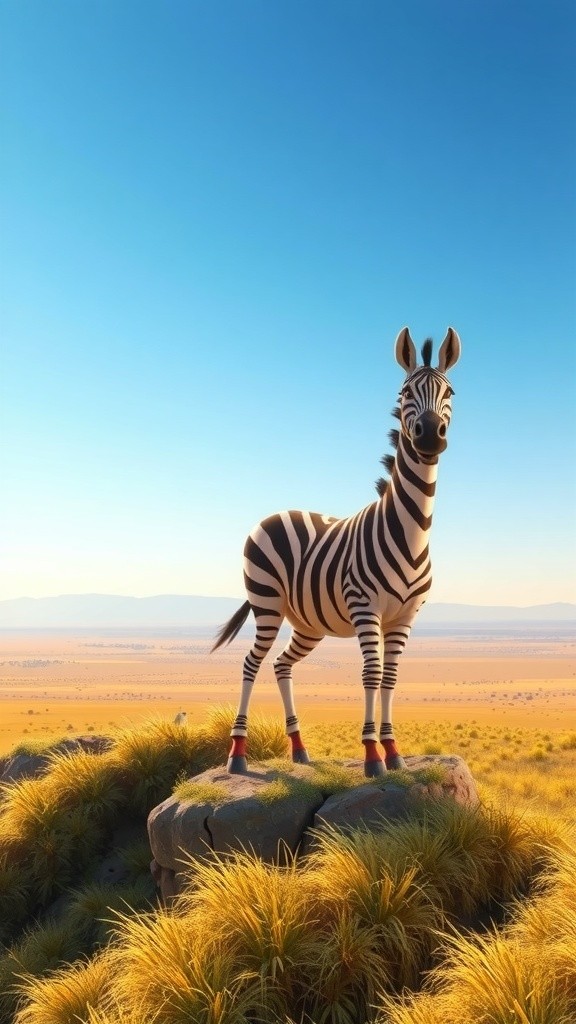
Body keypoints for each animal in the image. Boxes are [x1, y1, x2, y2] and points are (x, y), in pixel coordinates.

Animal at [212, 327, 461, 776]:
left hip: (308, 623)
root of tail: (274, 514)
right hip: (267, 604)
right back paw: (237, 755)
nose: (430, 435)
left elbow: (390, 678)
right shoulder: (365, 607)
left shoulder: (405, 616)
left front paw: (393, 750)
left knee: (281, 664)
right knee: (251, 663)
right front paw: (372, 756)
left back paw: (298, 749)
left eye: (449, 391)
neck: (411, 532)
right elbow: (371, 674)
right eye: (404, 392)